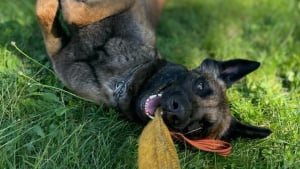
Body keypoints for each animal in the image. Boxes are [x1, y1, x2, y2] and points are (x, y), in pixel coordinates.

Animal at [35, 0, 272, 140]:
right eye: (200, 85)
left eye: (200, 127)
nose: (176, 110)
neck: (122, 77)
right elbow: (73, 12)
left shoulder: (58, 54)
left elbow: (50, 12)